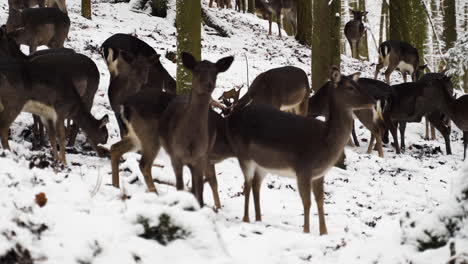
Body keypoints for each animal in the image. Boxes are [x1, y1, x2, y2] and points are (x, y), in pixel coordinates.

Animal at [160, 53, 234, 206]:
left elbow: (200, 190)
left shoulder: (202, 157)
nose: (209, 84)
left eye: (215, 72)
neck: (190, 143)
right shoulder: (176, 156)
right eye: (197, 70)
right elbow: (180, 186)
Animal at [225, 67, 374, 234]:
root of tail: (229, 119)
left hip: (263, 164)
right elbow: (307, 202)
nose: (374, 101)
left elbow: (320, 201)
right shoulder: (303, 169)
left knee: (256, 184)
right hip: (244, 155)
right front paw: (307, 231)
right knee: (247, 184)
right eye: (350, 87)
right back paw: (246, 219)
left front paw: (324, 232)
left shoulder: (319, 174)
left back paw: (258, 219)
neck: (325, 142)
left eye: (358, 84)